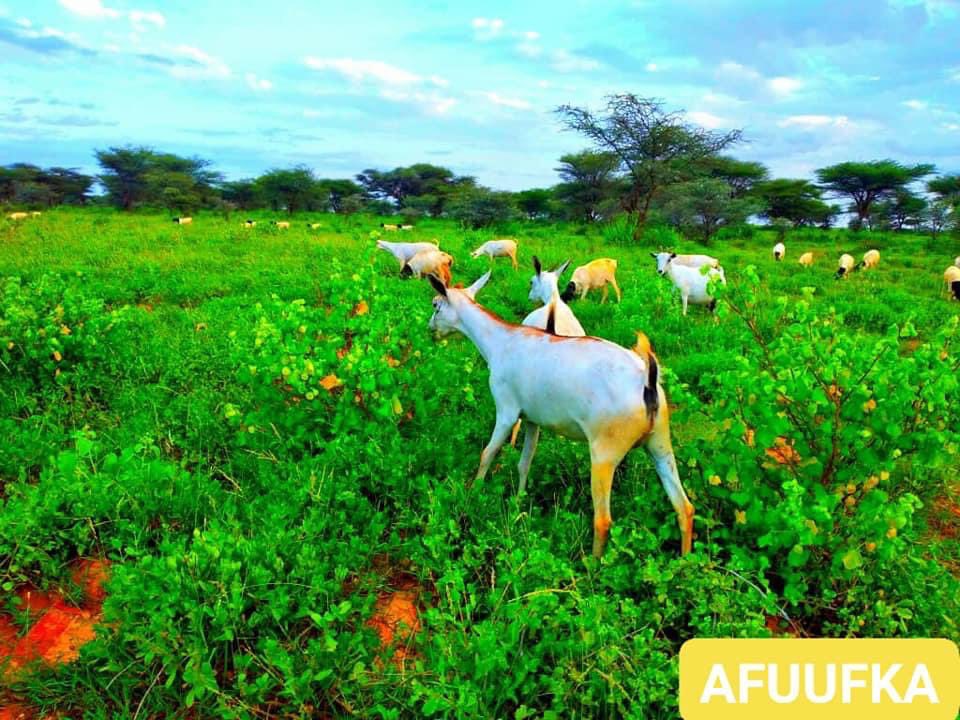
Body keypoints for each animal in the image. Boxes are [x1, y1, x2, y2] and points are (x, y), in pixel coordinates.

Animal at [426, 272, 688, 556]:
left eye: (436, 305)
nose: (431, 330)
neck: (501, 342)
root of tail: (647, 380)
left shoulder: (507, 410)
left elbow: (487, 453)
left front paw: (473, 494)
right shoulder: (532, 419)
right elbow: (525, 462)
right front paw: (518, 504)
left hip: (605, 453)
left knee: (603, 520)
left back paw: (591, 564)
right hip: (659, 443)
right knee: (684, 507)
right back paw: (685, 559)